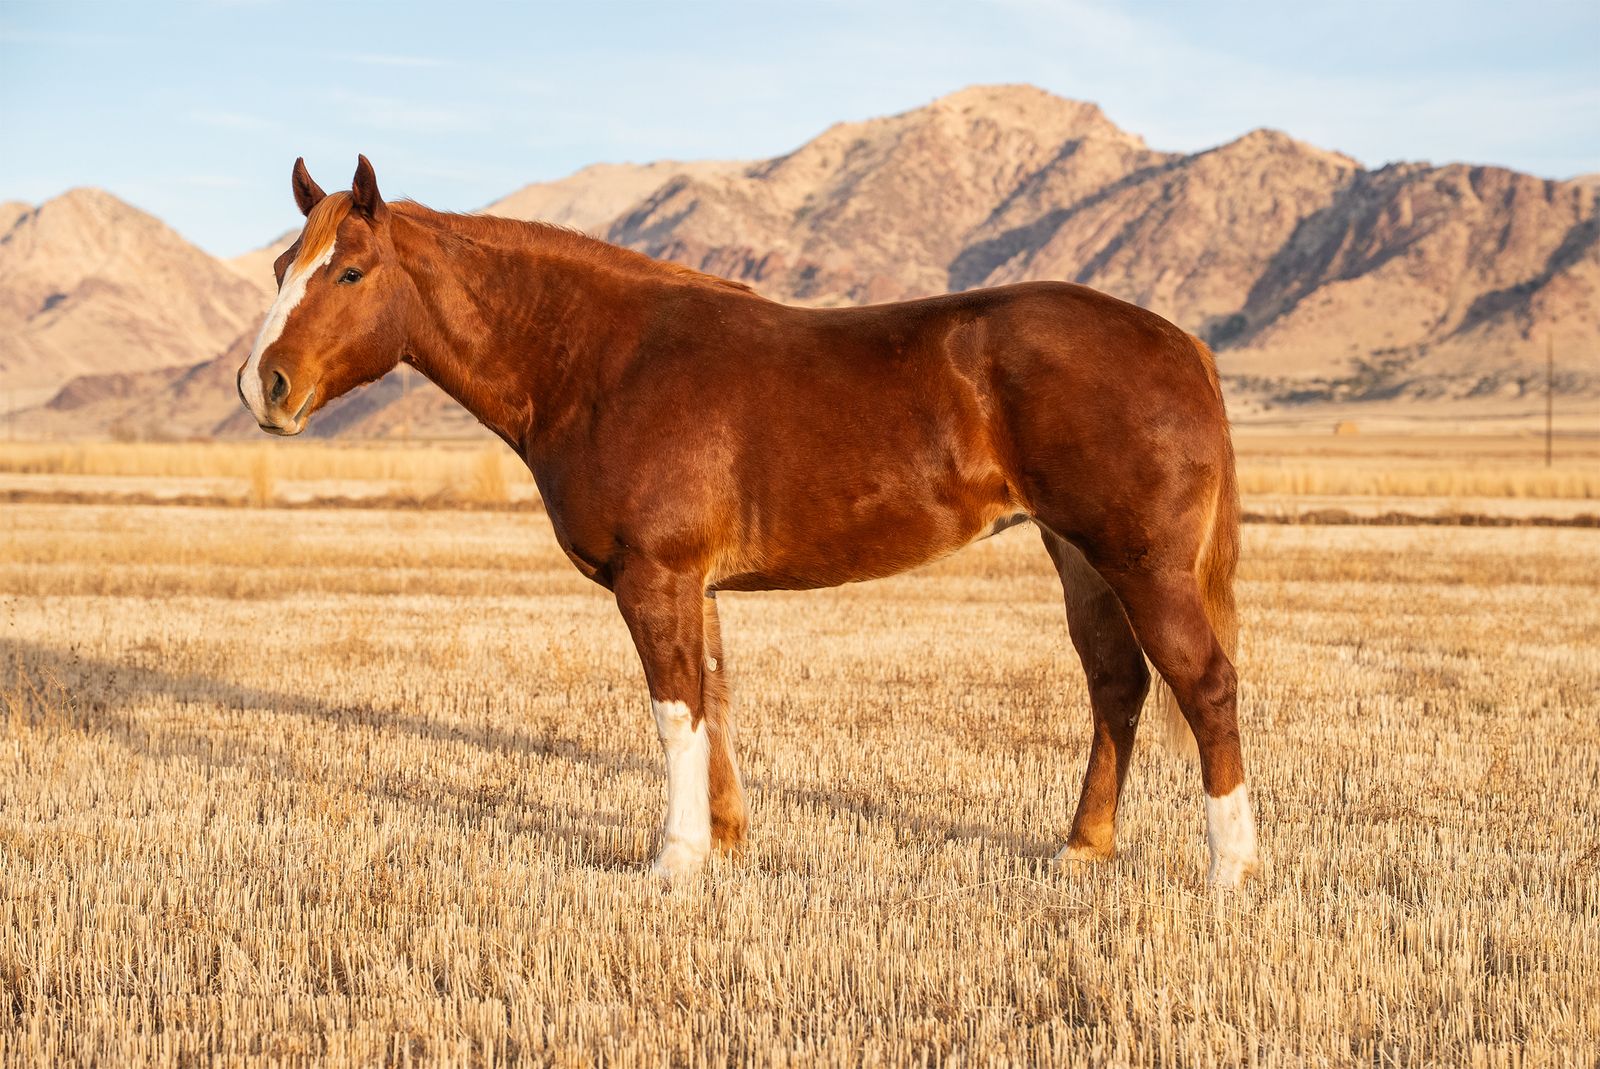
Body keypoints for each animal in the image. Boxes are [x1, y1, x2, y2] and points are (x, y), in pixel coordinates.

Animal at [238, 156, 1261, 886]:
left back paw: (1230, 870)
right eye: (284, 268)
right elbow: (715, 700)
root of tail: (1181, 342)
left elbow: (672, 710)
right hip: (1080, 555)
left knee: (1205, 684)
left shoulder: (655, 577)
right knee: (1117, 685)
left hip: (1143, 563)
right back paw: (1082, 848)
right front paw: (726, 842)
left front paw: (674, 859)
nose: (264, 387)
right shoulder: (698, 584)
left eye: (350, 271)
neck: (602, 360)